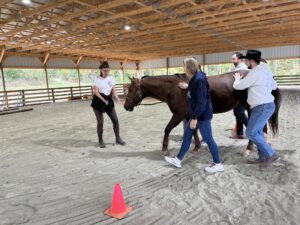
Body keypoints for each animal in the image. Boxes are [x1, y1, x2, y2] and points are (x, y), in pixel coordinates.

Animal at [124, 71, 282, 155]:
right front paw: (197, 147)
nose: (126, 106)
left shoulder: (179, 115)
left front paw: (164, 149)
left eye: (131, 89)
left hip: (251, 107)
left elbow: (167, 129)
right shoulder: (190, 115)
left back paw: (249, 149)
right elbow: (194, 131)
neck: (175, 88)